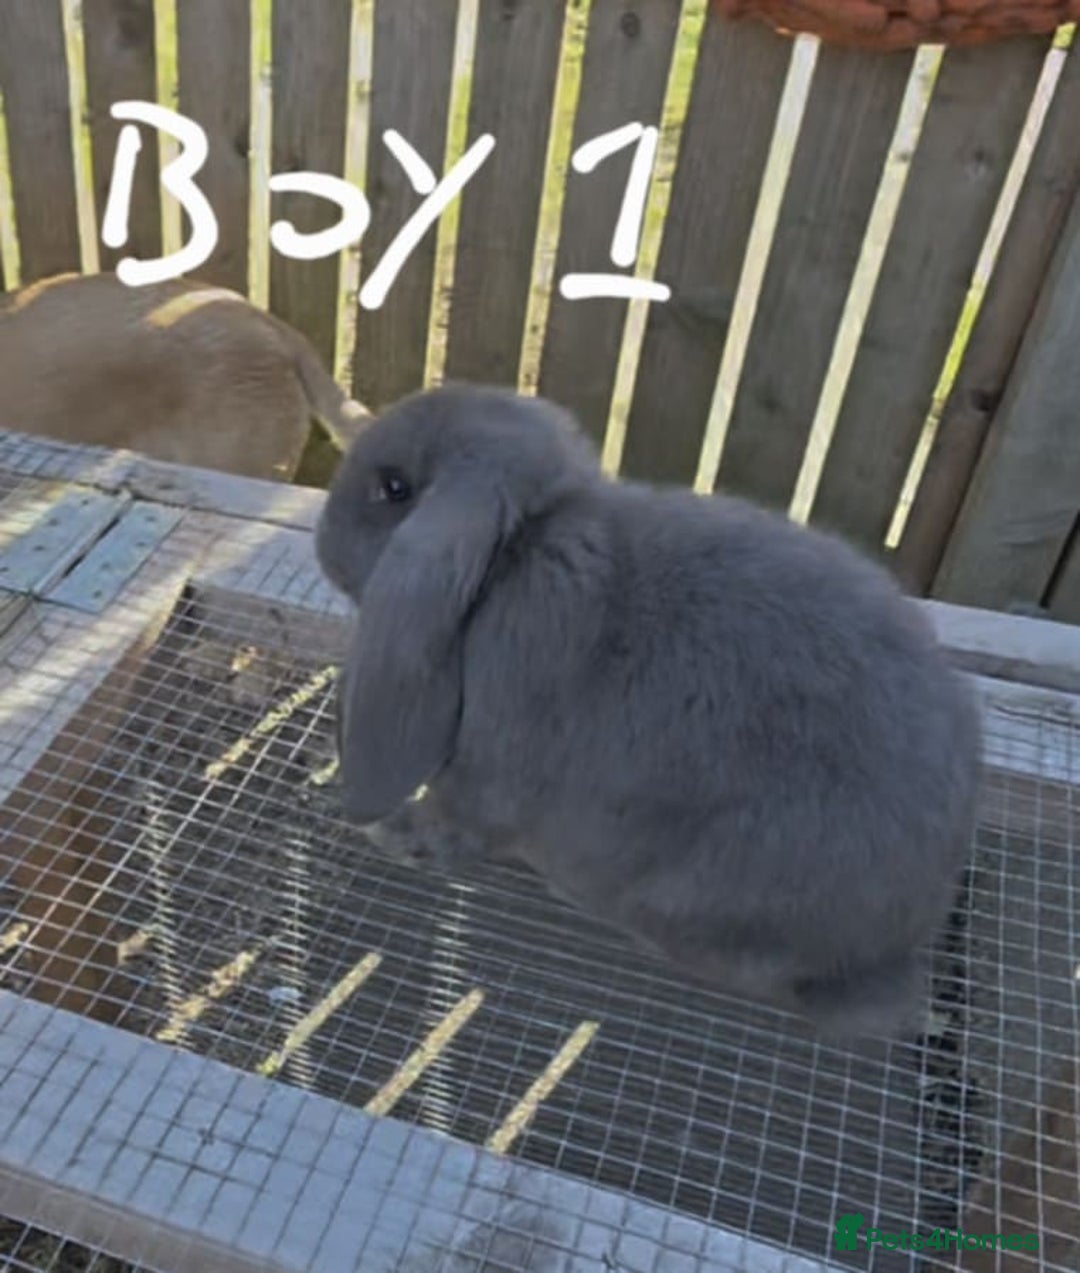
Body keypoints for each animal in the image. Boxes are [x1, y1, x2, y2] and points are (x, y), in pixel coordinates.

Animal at [316, 383, 982, 1038]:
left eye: (394, 487)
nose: (323, 541)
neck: (518, 558)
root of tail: (890, 944)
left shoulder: (481, 779)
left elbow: (450, 824)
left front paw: (391, 834)